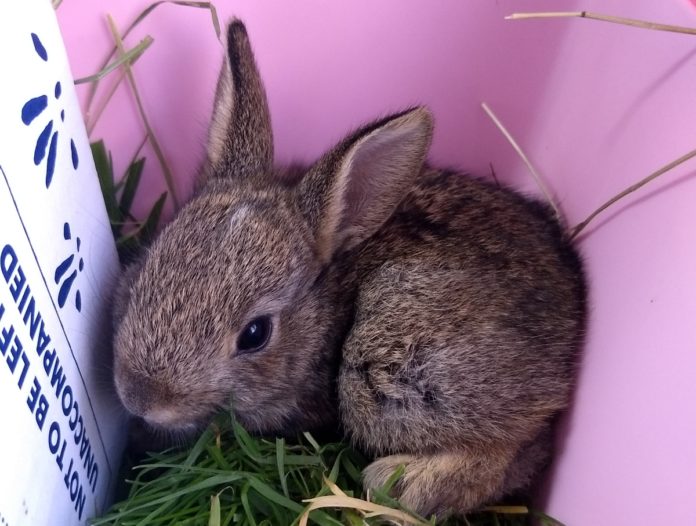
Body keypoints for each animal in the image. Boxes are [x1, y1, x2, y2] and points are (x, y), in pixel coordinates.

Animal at [113, 19, 588, 520]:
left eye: (255, 334)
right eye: (144, 271)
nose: (142, 398)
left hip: (385, 363)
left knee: (514, 450)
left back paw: (400, 483)